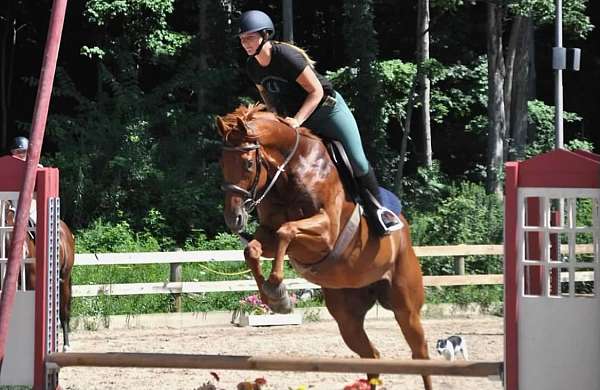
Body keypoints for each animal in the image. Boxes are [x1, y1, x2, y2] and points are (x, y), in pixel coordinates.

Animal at [218, 104, 434, 390]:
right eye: (221, 163)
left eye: (248, 163)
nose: (234, 219)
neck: (291, 171)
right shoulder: (269, 233)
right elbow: (252, 250)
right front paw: (274, 298)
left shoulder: (326, 232)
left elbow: (288, 231)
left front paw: (276, 289)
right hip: (347, 318)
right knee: (372, 356)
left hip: (406, 306)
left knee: (420, 353)